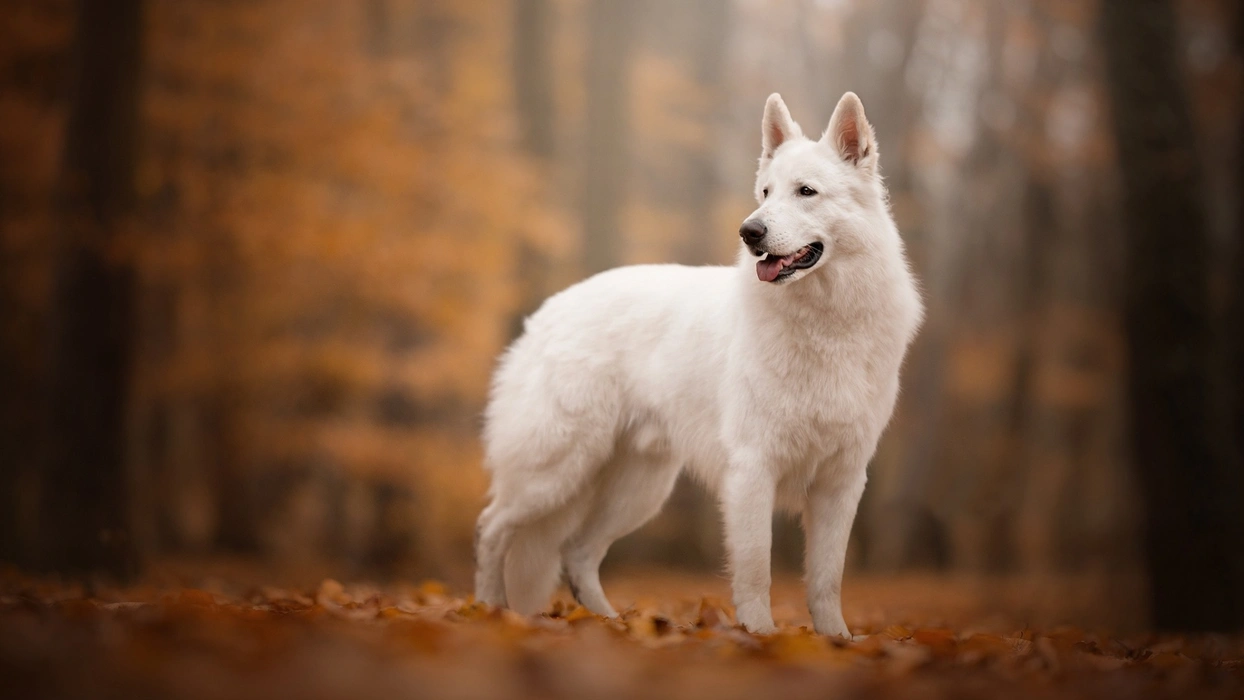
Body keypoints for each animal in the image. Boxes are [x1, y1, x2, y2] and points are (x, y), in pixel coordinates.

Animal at [475, 92, 925, 636]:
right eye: (765, 192)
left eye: (806, 192)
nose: (750, 230)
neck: (824, 322)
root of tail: (547, 311)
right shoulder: (753, 470)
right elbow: (755, 570)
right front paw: (761, 637)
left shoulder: (841, 481)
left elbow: (826, 578)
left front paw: (835, 639)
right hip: (555, 470)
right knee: (493, 528)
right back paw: (487, 609)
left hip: (637, 489)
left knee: (576, 552)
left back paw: (610, 624)